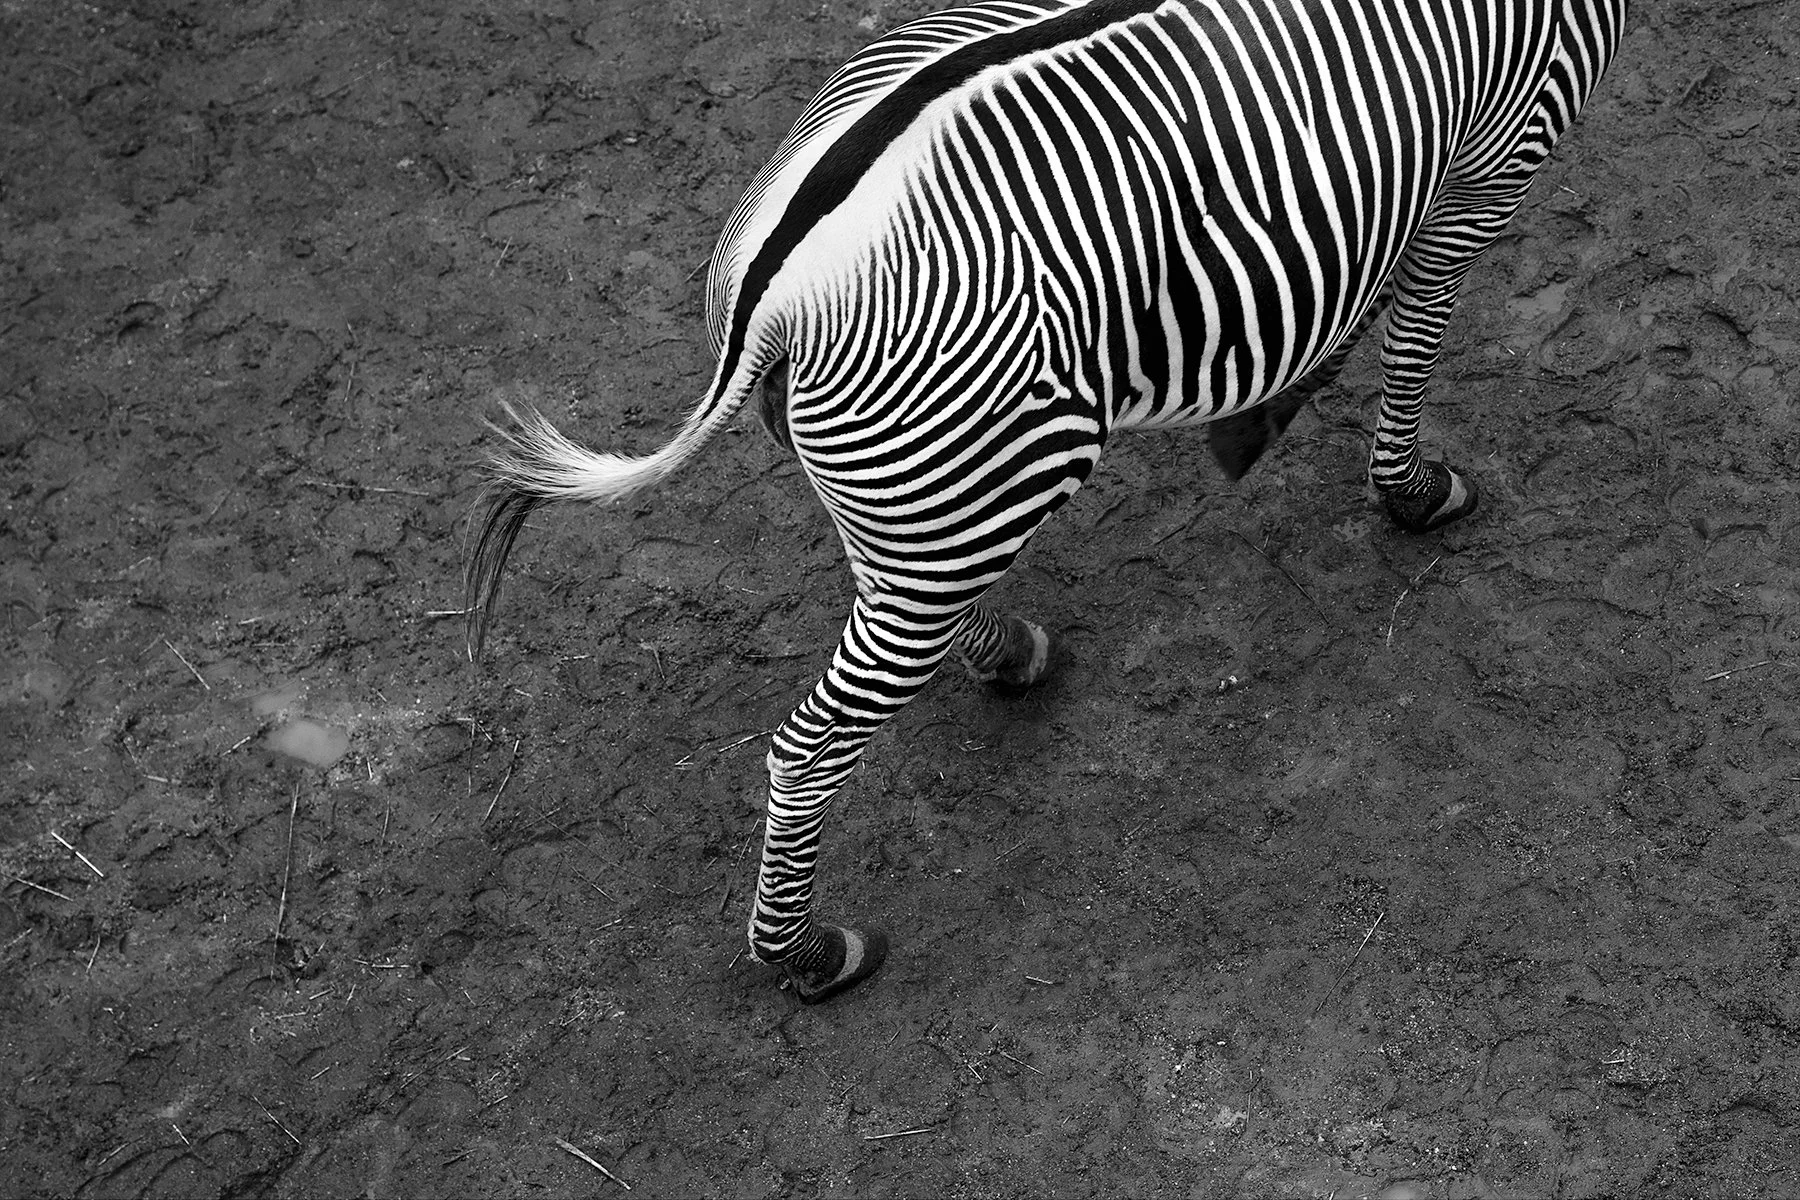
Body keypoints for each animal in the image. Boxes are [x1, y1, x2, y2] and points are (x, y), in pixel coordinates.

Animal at [466, 0, 1628, 1003]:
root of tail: (778, 294)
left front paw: (1274, 411)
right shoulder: (1500, 148)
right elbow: (1418, 323)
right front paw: (1407, 489)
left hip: (918, 492)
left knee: (893, 603)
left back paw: (1007, 654)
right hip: (972, 482)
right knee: (810, 746)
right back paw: (810, 955)